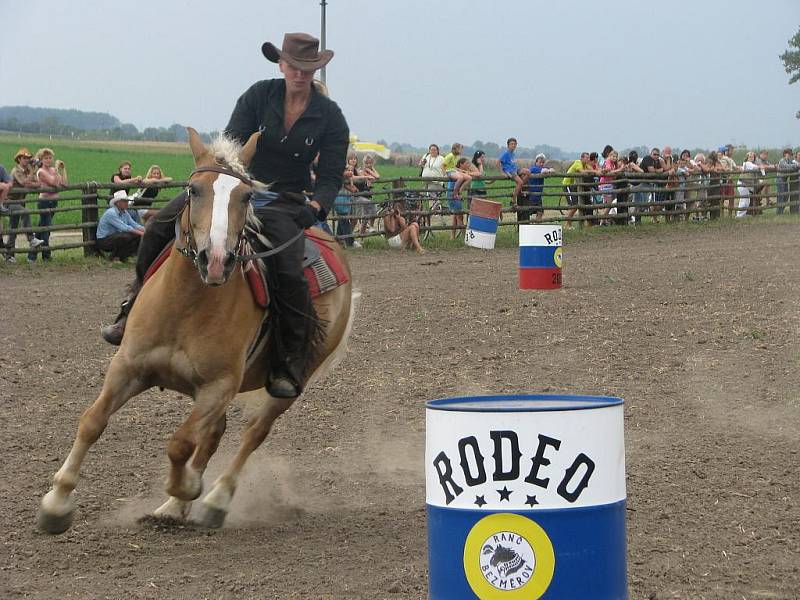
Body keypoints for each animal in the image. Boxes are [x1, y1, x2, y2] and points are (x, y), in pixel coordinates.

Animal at [37, 127, 356, 536]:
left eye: (246, 195)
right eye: (193, 190)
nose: (215, 259)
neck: (186, 305)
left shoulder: (217, 388)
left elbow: (180, 444)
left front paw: (187, 487)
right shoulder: (127, 367)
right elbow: (92, 422)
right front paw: (57, 503)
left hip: (283, 387)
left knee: (253, 433)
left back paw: (213, 500)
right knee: (216, 434)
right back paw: (175, 506)